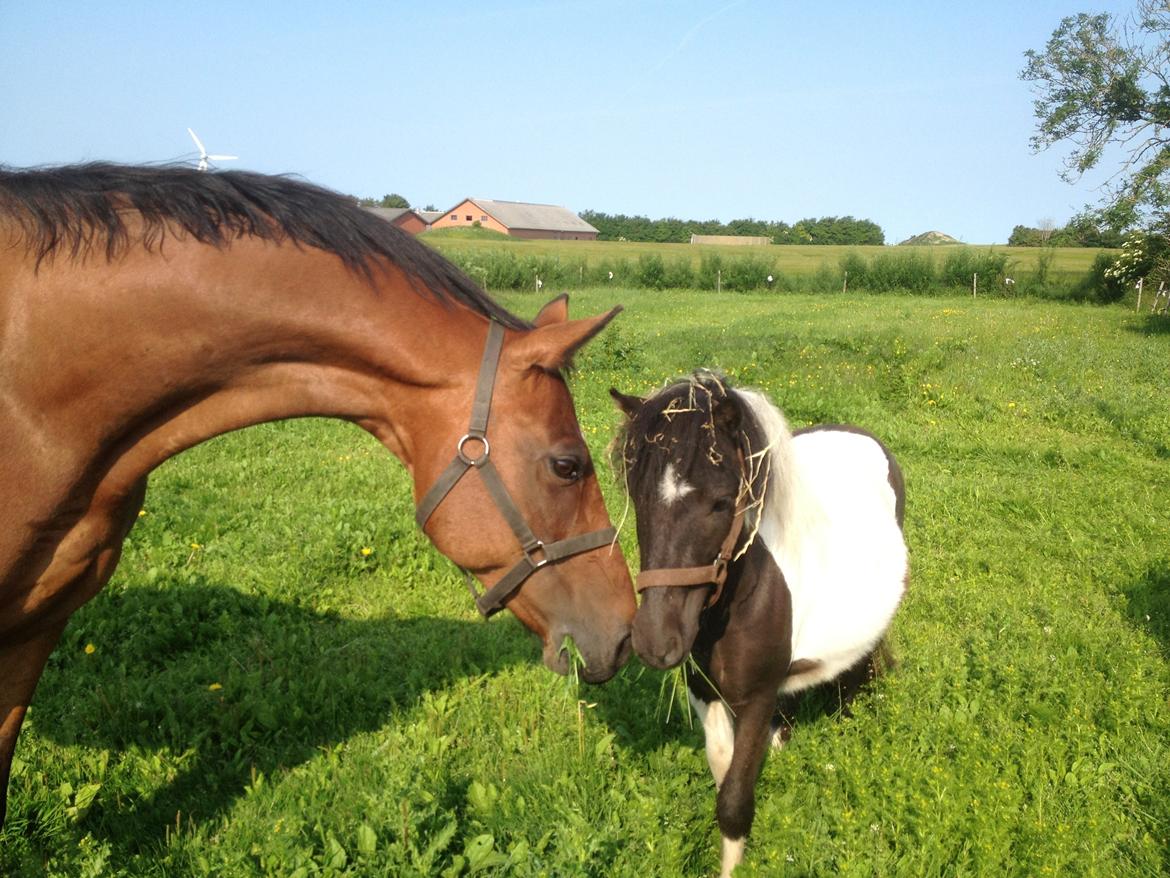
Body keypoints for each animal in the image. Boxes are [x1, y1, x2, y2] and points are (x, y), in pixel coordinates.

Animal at [612, 373, 907, 878]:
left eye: (720, 503)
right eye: (638, 495)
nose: (654, 641)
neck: (742, 596)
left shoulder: (756, 697)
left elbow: (733, 799)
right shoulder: (706, 691)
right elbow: (723, 768)